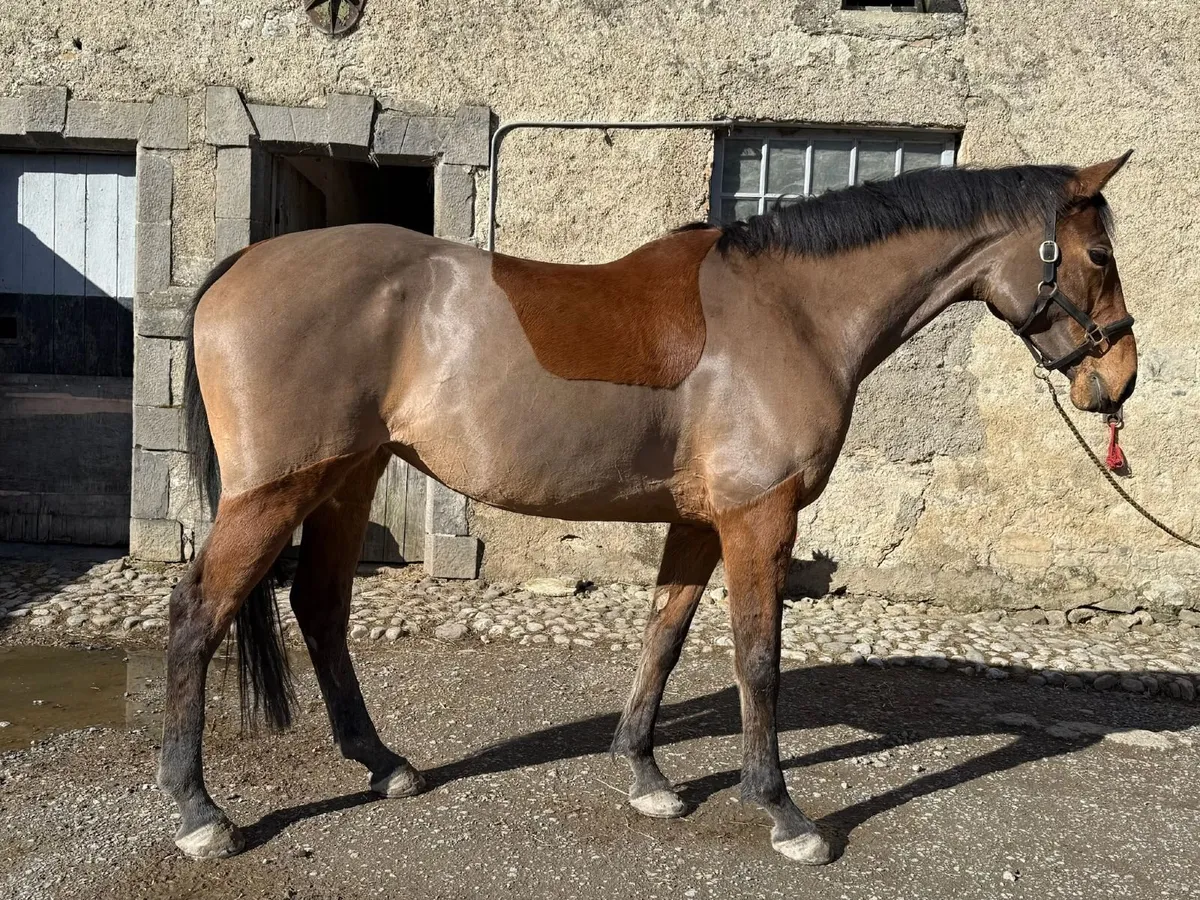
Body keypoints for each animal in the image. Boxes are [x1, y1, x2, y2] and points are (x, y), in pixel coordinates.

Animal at [159, 153, 1138, 864]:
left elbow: (663, 637)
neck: (791, 312)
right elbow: (757, 663)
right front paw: (783, 812)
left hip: (348, 478)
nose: (1119, 381)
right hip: (278, 490)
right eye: (1099, 257)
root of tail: (243, 263)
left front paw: (646, 774)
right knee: (198, 613)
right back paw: (200, 812)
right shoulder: (759, 519)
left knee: (319, 606)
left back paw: (384, 765)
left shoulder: (701, 521)